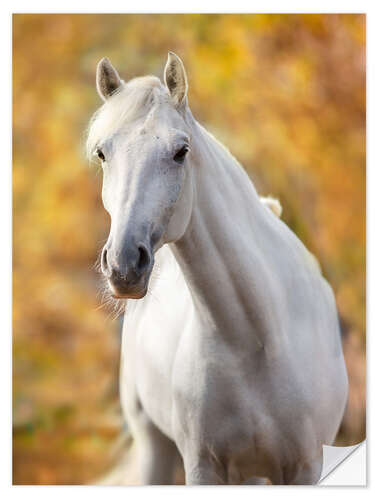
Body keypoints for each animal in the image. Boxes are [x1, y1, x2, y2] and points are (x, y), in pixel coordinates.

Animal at [86, 51, 348, 484]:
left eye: (180, 151)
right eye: (103, 153)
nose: (123, 265)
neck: (257, 340)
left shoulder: (307, 467)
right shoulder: (203, 466)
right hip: (154, 448)